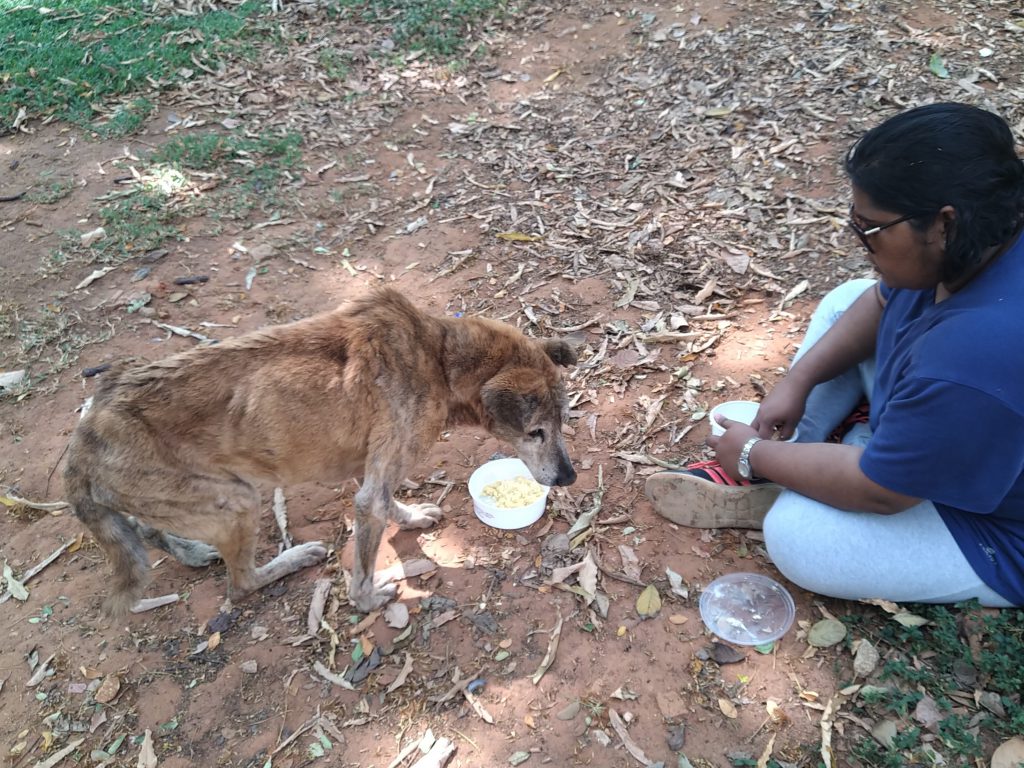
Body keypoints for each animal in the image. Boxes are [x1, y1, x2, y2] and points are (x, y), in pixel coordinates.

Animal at [64, 288, 577, 618]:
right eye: (536, 432)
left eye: (563, 421)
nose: (568, 477)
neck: (439, 357)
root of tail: (82, 440)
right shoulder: (374, 485)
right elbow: (367, 552)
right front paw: (367, 601)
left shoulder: (370, 470)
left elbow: (388, 502)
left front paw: (411, 517)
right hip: (237, 500)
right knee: (240, 583)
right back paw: (293, 559)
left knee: (141, 525)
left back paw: (189, 549)